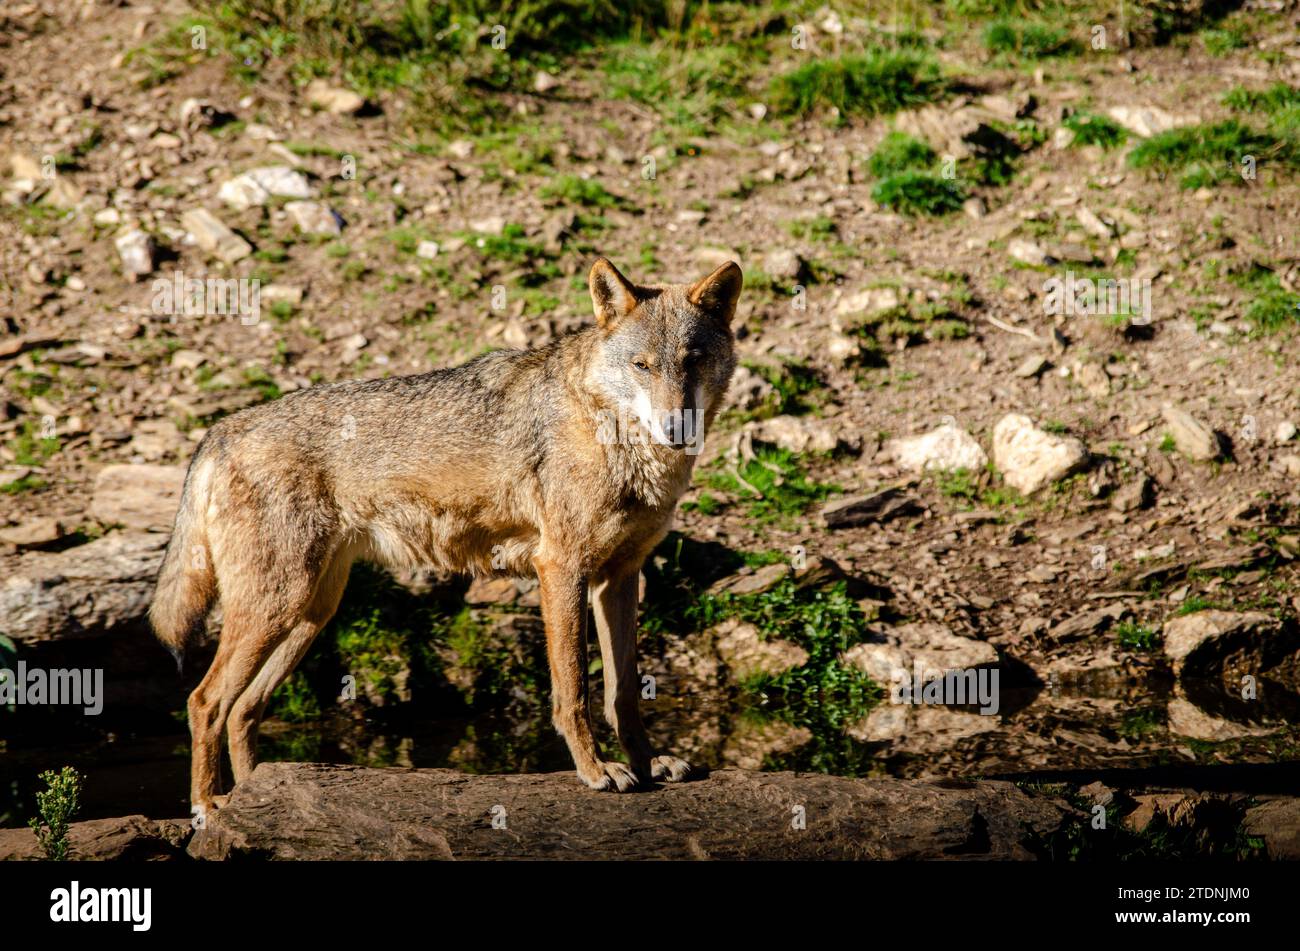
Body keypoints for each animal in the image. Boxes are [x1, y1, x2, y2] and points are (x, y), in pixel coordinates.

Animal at [150, 258, 743, 810]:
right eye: (641, 366)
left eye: (692, 361)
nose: (676, 428)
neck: (612, 435)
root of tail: (221, 429)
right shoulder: (561, 569)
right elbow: (573, 688)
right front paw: (595, 770)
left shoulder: (619, 577)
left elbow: (625, 693)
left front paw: (648, 763)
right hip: (277, 606)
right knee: (205, 702)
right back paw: (210, 808)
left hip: (311, 613)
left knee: (244, 709)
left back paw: (257, 800)